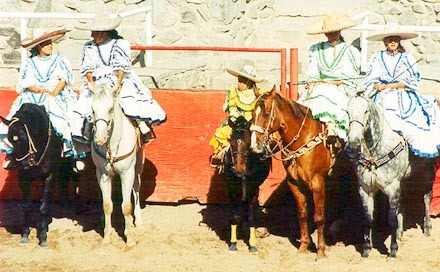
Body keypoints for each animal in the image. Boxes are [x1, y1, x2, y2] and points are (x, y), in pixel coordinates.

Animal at [0, 102, 73, 246]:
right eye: (10, 139)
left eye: (23, 138)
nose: (24, 164)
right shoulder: (24, 177)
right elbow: (26, 206)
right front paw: (25, 235)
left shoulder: (49, 176)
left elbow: (43, 207)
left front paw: (43, 237)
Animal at [90, 83, 144, 246]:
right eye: (93, 110)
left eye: (110, 109)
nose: (100, 139)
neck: (112, 146)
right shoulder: (102, 173)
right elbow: (107, 205)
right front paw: (107, 237)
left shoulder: (127, 173)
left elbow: (126, 206)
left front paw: (130, 239)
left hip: (137, 166)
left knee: (136, 187)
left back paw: (138, 221)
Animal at [222, 116, 274, 254]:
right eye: (231, 141)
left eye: (247, 141)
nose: (238, 170)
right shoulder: (231, 189)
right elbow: (234, 216)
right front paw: (233, 243)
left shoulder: (254, 189)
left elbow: (251, 218)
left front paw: (252, 245)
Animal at [249, 86, 332, 258]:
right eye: (253, 114)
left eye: (266, 113)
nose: (255, 145)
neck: (302, 138)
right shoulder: (294, 183)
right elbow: (302, 214)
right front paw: (304, 246)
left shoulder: (318, 183)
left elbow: (319, 217)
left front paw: (320, 251)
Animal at [346, 91, 434, 258]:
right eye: (347, 112)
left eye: (365, 111)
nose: (353, 145)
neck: (375, 153)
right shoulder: (365, 189)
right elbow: (368, 219)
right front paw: (366, 249)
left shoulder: (392, 188)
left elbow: (391, 219)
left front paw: (392, 251)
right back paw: (399, 234)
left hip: (427, 172)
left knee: (427, 197)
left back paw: (427, 229)